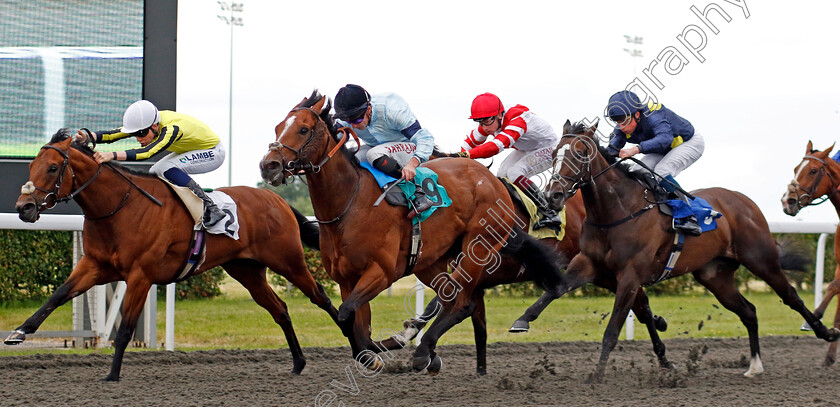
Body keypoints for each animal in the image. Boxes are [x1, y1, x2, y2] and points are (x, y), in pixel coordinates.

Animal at [5, 129, 342, 380]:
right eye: (32, 166)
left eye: (52, 168)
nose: (24, 208)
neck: (120, 206)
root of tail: (277, 200)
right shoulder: (95, 265)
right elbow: (58, 295)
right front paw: (18, 333)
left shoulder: (140, 276)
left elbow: (125, 329)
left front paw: (112, 375)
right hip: (247, 270)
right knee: (280, 310)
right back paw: (298, 363)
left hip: (289, 261)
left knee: (321, 297)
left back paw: (352, 342)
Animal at [258, 91, 572, 374]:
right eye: (277, 127)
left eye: (303, 129)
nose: (268, 165)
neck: (349, 205)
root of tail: (493, 180)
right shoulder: (347, 279)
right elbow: (355, 322)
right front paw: (373, 353)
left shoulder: (382, 272)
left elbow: (347, 315)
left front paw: (378, 353)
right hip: (432, 261)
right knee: (454, 297)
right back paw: (423, 349)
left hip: (479, 246)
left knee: (461, 301)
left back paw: (423, 351)